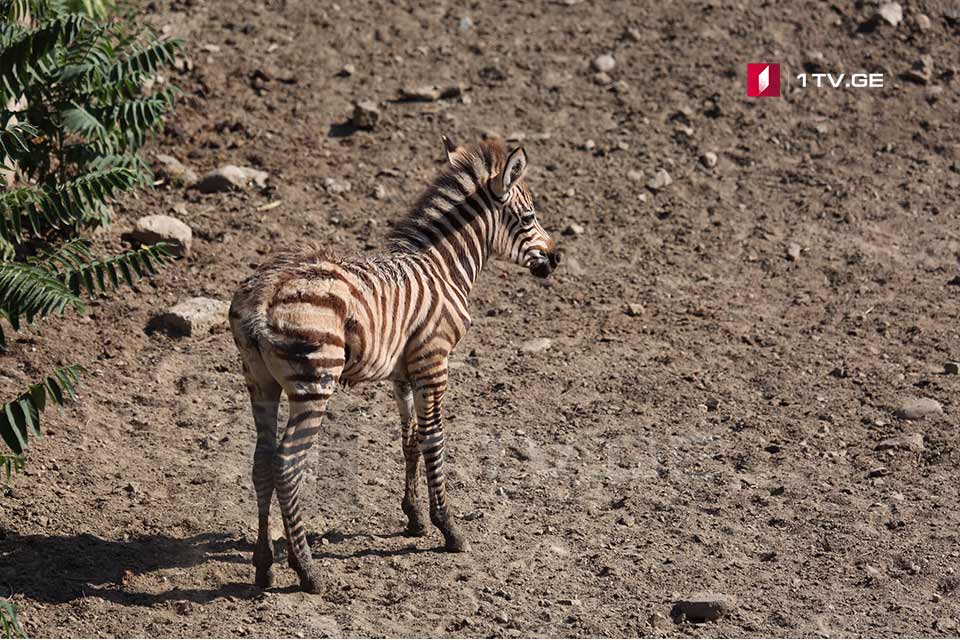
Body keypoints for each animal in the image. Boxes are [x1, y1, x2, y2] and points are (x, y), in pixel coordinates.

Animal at [231, 138, 564, 592]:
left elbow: (410, 440)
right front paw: (448, 528)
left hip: (260, 382)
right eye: (529, 217)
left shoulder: (403, 374)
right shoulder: (434, 363)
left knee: (262, 461)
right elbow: (434, 440)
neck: (444, 268)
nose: (557, 258)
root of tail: (267, 291)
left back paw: (264, 566)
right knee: (287, 463)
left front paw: (414, 518)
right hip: (314, 384)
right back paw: (307, 570)